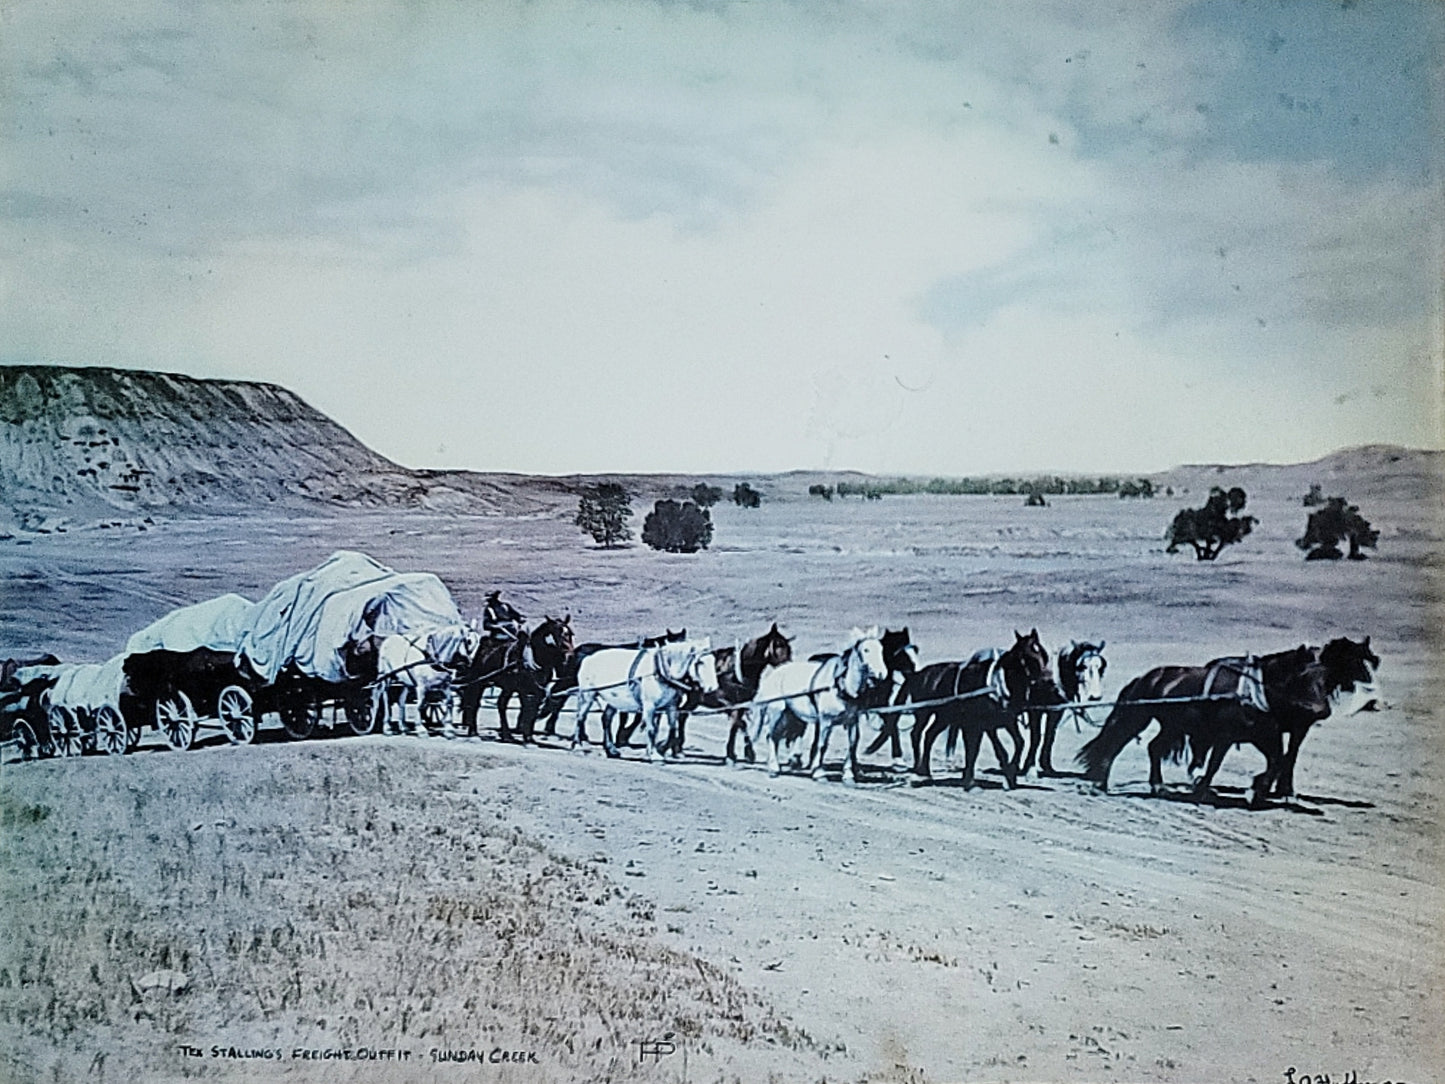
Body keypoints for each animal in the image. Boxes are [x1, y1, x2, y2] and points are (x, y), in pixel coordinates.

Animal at [462, 615, 575, 745]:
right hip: (479, 681)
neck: (534, 659)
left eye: (570, 634)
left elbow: (532, 710)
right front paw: (527, 736)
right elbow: (526, 709)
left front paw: (529, 737)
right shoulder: (522, 689)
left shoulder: (538, 690)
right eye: (557, 633)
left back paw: (506, 735)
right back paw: (473, 732)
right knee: (474, 703)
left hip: (507, 687)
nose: (570, 656)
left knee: (501, 704)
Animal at [569, 635, 716, 763]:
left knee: (606, 718)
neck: (659, 670)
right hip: (587, 695)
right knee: (581, 717)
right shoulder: (649, 706)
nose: (712, 688)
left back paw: (611, 749)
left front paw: (660, 749)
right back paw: (577, 745)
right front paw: (654, 755)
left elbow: (671, 729)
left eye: (713, 660)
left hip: (614, 700)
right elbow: (651, 729)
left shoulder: (670, 706)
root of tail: (588, 658)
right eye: (700, 662)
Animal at [751, 627, 884, 792]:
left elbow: (852, 745)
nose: (881, 674)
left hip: (790, 715)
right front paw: (819, 773)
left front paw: (848, 776)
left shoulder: (852, 721)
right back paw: (774, 768)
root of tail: (775, 673)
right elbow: (822, 745)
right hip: (777, 712)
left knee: (778, 736)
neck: (840, 686)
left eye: (881, 649)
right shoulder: (825, 721)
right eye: (866, 650)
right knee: (771, 737)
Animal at [907, 627, 1057, 792]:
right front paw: (972, 782)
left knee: (929, 735)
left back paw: (925, 772)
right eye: (1027, 657)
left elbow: (1019, 743)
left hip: (944, 717)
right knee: (916, 734)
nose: (1049, 683)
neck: (996, 686)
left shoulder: (1008, 721)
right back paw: (918, 771)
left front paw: (1010, 776)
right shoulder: (983, 724)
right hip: (924, 713)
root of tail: (921, 674)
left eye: (1044, 654)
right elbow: (987, 750)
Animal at [1086, 641, 1375, 809]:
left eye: (1326, 678)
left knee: (1154, 748)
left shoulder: (1265, 735)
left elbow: (1278, 761)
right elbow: (1215, 764)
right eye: (1302, 675)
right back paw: (1101, 781)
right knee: (1116, 740)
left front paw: (1257, 791)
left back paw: (1157, 786)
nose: (1319, 711)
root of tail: (1146, 676)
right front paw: (1203, 789)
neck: (1255, 691)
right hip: (1139, 716)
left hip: (1173, 725)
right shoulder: (1225, 736)